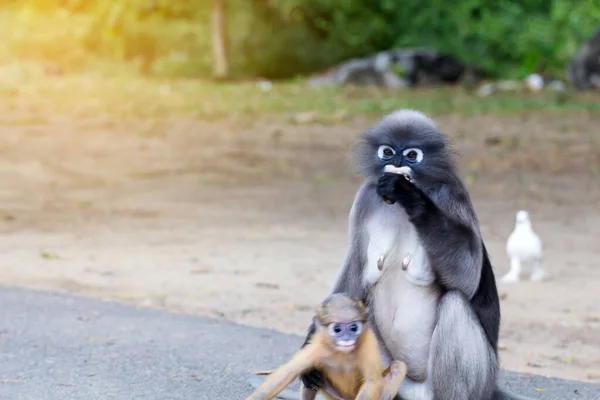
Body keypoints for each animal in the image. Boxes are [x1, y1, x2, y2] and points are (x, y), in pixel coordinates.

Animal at [245, 292, 408, 398]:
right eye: (337, 329)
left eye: (353, 327)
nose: (347, 338)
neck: (343, 354)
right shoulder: (317, 346)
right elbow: (286, 374)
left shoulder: (368, 342)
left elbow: (372, 380)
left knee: (397, 367)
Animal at [300, 109, 536, 400]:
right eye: (388, 152)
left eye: (412, 155)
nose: (397, 163)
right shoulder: (365, 197)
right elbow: (353, 275)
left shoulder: (453, 195)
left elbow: (468, 279)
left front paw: (411, 196)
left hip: (477, 379)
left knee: (455, 303)